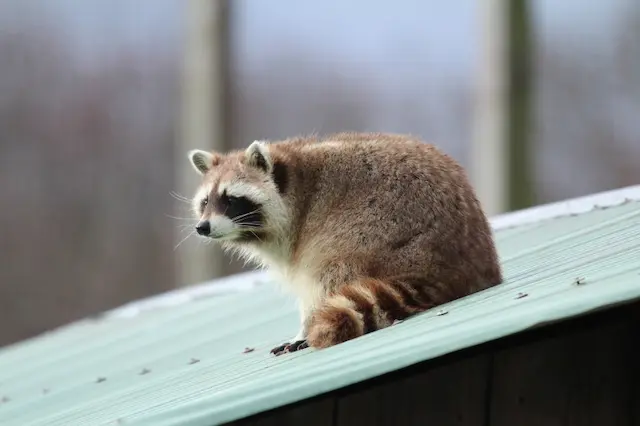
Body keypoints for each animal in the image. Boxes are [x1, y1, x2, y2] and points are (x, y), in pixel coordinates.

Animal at [188, 132, 502, 352]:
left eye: (231, 200)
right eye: (205, 202)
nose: (202, 227)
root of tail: (453, 268)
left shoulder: (304, 227)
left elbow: (314, 281)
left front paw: (304, 325)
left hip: (376, 225)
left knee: (333, 266)